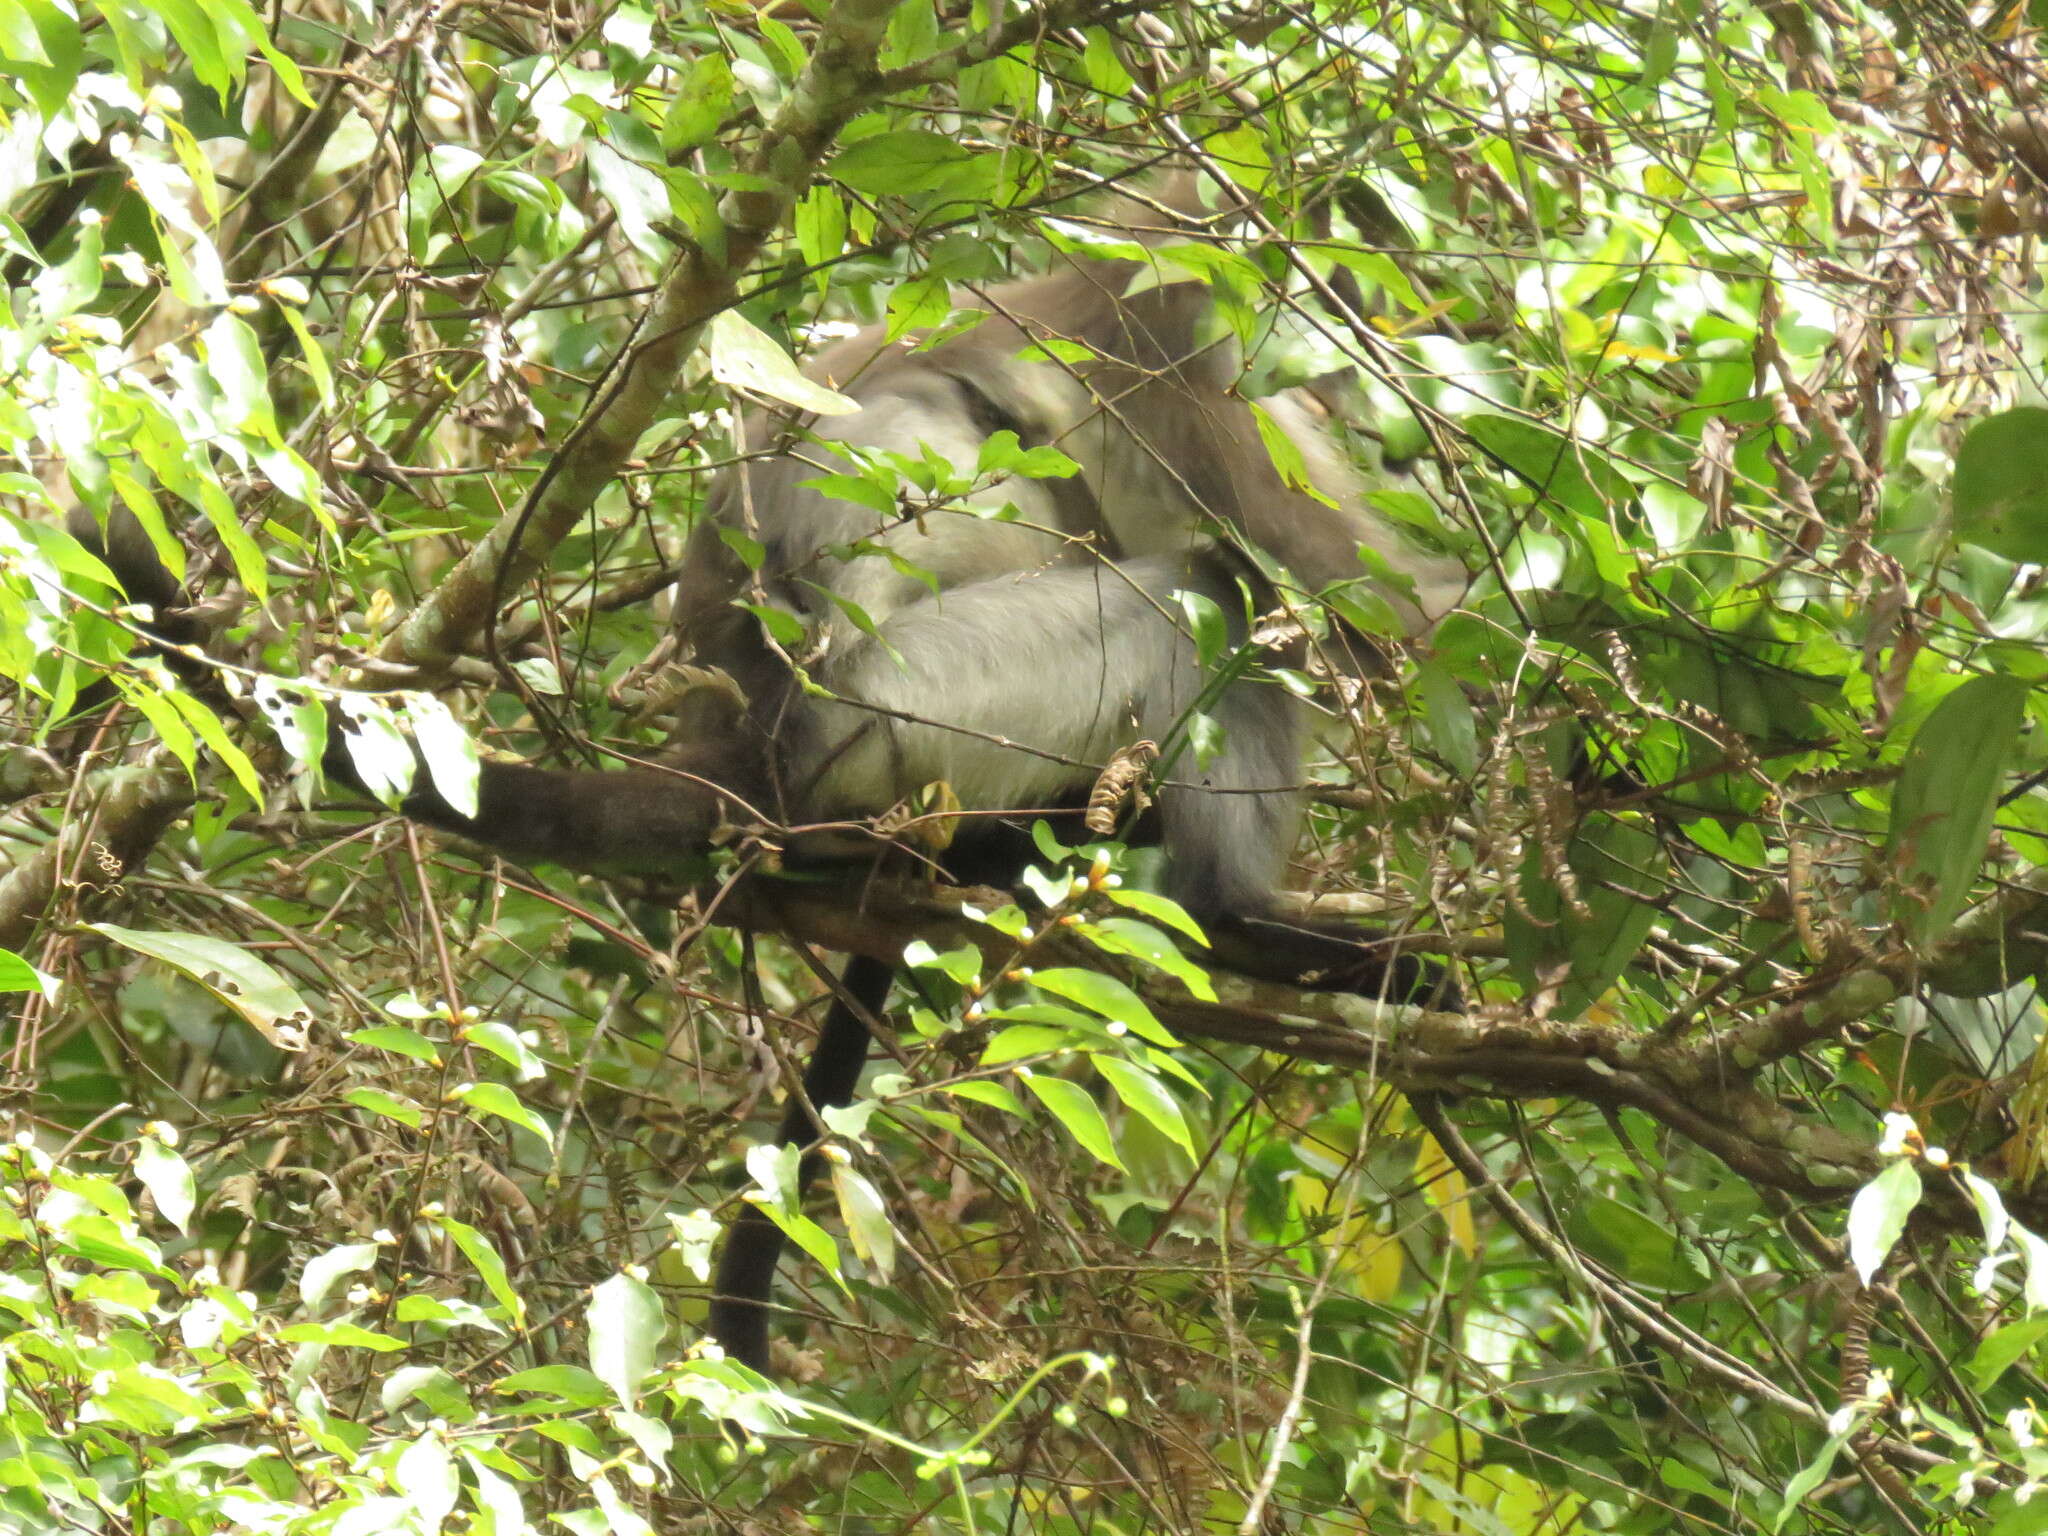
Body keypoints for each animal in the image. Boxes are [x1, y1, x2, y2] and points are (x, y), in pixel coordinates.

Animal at [72, 177, 1466, 1368]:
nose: (1343, 355)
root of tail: (745, 739)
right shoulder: (1164, 348)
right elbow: (1352, 602)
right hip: (902, 706)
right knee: (1205, 599)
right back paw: (1239, 920)